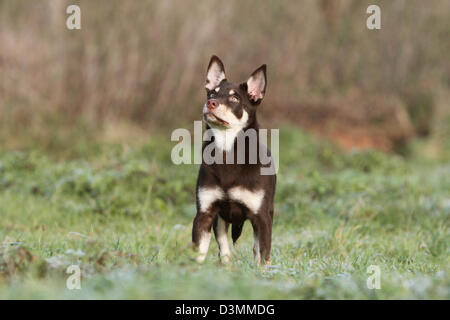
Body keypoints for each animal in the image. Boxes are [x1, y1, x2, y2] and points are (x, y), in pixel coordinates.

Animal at [192, 55, 276, 264]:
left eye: (234, 98)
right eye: (211, 94)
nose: (211, 103)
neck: (226, 151)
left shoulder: (261, 218)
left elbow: (262, 255)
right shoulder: (205, 213)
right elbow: (198, 252)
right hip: (220, 221)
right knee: (224, 248)